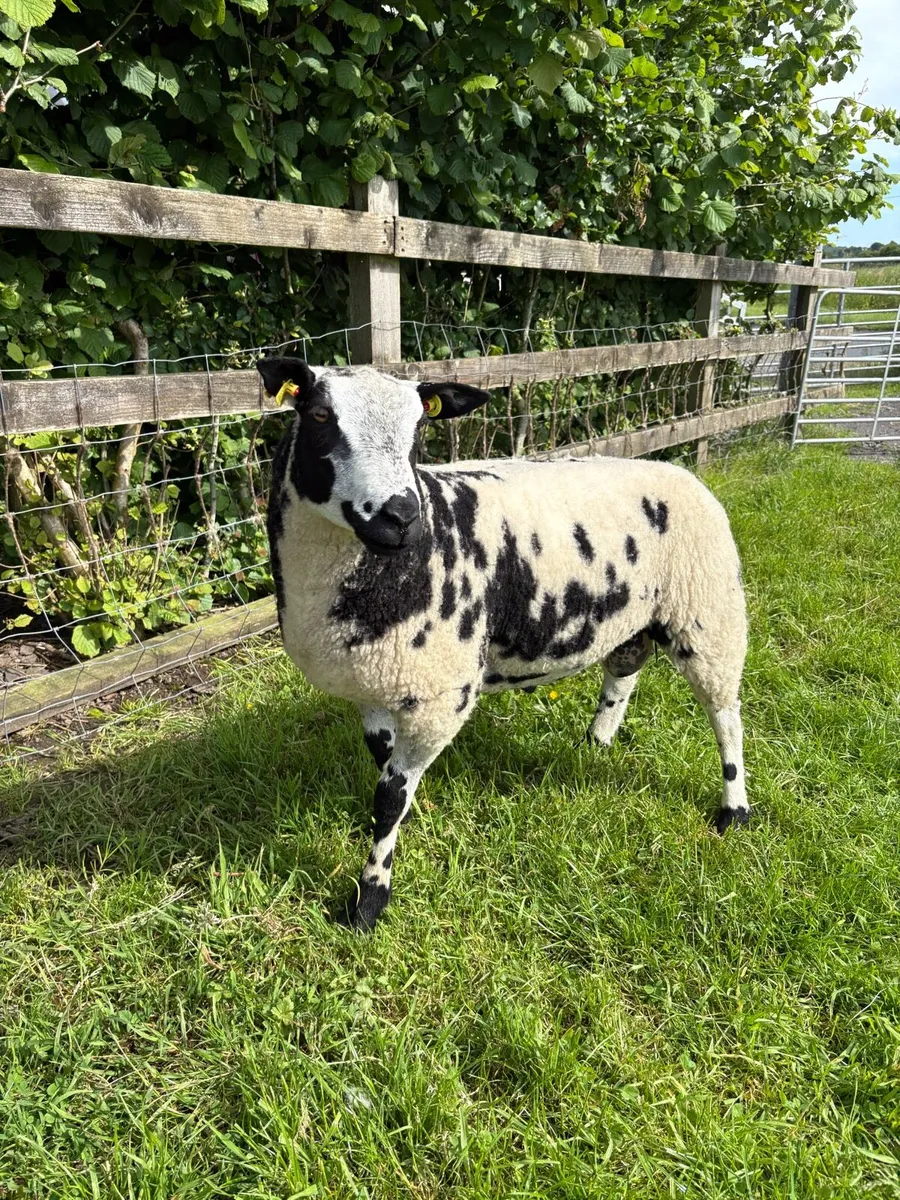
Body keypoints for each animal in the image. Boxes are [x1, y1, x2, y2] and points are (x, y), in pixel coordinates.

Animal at [257, 357, 749, 931]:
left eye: (420, 430)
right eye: (318, 415)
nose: (400, 516)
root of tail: (681, 470)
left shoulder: (441, 692)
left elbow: (388, 797)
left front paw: (369, 900)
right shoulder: (373, 687)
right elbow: (386, 770)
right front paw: (409, 822)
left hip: (707, 609)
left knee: (725, 714)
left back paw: (734, 810)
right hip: (633, 612)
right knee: (626, 666)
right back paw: (596, 743)